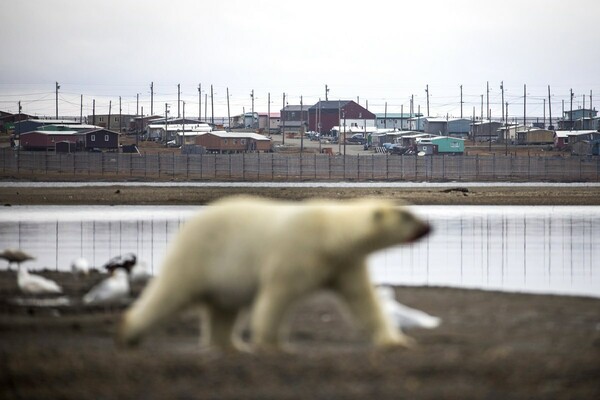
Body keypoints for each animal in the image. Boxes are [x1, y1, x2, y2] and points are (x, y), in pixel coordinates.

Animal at [117, 196, 428, 350]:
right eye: (407, 216)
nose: (428, 227)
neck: (328, 234)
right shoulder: (294, 254)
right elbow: (277, 295)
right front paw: (270, 343)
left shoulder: (344, 264)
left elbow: (363, 300)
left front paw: (395, 341)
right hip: (201, 256)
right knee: (172, 291)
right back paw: (130, 330)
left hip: (224, 275)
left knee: (224, 308)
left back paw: (230, 346)